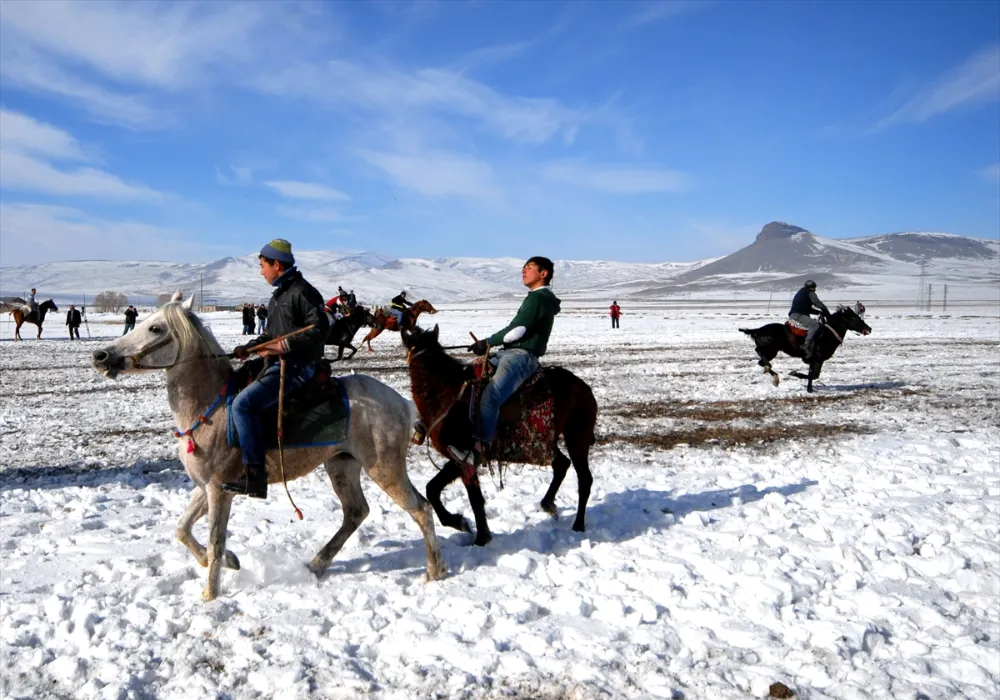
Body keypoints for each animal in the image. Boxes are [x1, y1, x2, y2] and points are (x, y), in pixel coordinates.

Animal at [91, 290, 446, 600]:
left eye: (156, 327)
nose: (101, 356)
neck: (211, 407)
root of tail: (402, 403)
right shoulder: (205, 487)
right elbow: (182, 529)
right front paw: (226, 561)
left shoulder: (220, 490)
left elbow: (215, 539)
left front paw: (210, 594)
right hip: (342, 465)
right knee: (356, 512)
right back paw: (317, 564)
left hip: (385, 469)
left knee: (420, 509)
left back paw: (434, 571)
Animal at [402, 324, 596, 548]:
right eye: (417, 356)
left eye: (429, 358)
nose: (424, 390)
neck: (448, 398)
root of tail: (584, 388)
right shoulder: (457, 458)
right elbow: (432, 488)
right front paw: (459, 522)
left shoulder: (466, 456)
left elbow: (474, 499)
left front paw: (481, 538)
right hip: (546, 443)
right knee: (562, 465)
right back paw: (548, 504)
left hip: (577, 438)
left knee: (584, 479)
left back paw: (578, 525)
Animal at [740, 306, 872, 394]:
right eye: (855, 317)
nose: (869, 328)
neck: (827, 334)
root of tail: (757, 330)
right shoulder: (817, 359)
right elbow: (813, 375)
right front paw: (797, 376)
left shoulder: (816, 360)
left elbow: (813, 375)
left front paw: (809, 387)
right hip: (771, 350)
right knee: (759, 352)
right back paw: (774, 375)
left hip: (771, 352)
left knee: (761, 362)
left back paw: (771, 373)